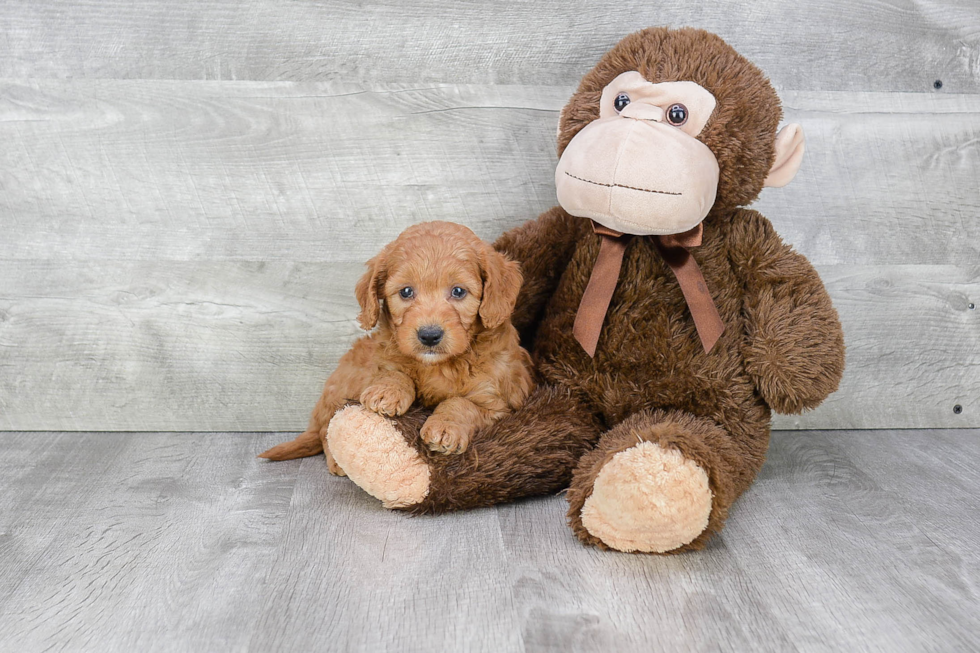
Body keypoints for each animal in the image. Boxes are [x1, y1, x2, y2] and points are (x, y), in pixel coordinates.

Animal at [260, 220, 532, 474]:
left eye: (458, 291)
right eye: (406, 292)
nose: (429, 335)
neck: (436, 366)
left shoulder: (498, 404)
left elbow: (463, 404)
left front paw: (445, 426)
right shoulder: (381, 360)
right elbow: (395, 373)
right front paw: (387, 392)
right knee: (327, 429)